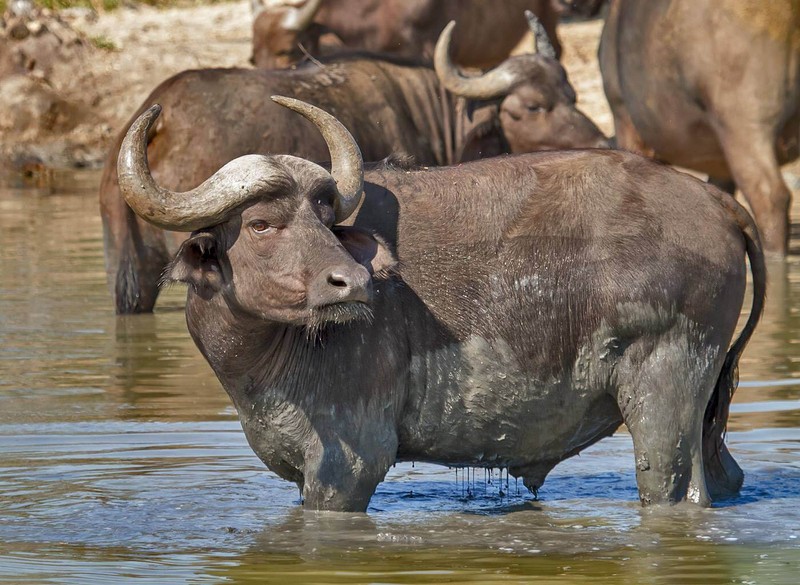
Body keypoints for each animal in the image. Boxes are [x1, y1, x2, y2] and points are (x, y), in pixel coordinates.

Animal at [115, 100, 764, 512]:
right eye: (262, 224)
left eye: (324, 217)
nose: (353, 281)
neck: (266, 357)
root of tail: (714, 199)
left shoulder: (348, 467)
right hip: (704, 411)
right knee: (722, 476)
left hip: (664, 395)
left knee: (673, 488)